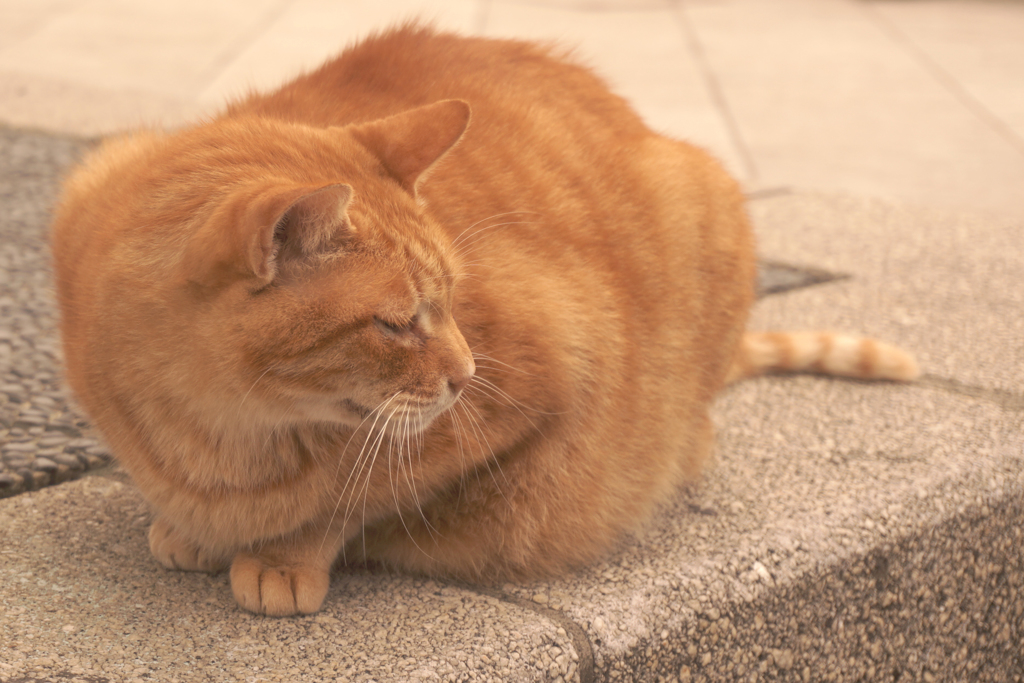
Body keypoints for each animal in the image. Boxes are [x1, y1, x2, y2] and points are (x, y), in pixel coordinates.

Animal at [49, 26, 921, 618]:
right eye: (397, 323)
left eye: (452, 302)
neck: (217, 435)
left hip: (707, 205)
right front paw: (187, 525)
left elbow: (355, 495)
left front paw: (280, 552)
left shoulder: (543, 376)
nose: (466, 375)